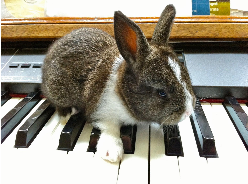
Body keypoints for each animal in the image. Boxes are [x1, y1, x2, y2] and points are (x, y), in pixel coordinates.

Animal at [42, 4, 196, 162]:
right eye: (162, 93)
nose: (188, 112)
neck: (122, 93)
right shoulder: (101, 111)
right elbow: (110, 128)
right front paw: (111, 153)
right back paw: (67, 114)